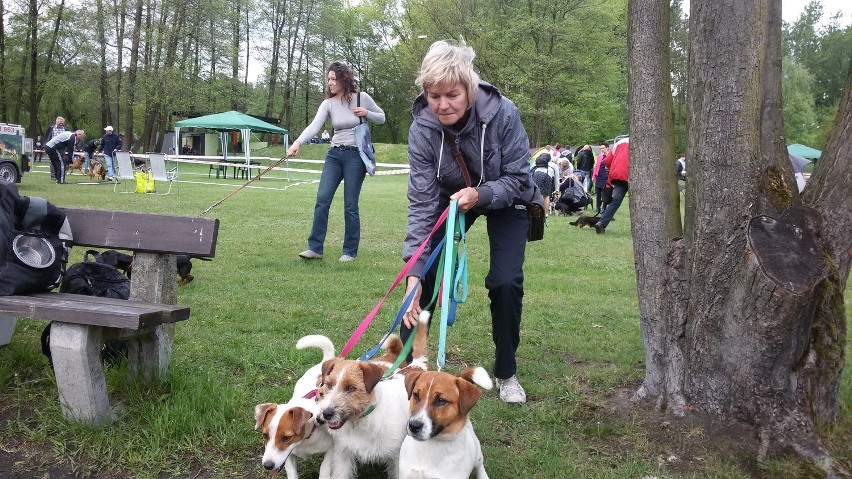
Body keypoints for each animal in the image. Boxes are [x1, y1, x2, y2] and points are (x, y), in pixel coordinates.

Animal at [253, 336, 336, 478]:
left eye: (286, 438)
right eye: (265, 435)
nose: (268, 465)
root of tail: (325, 362)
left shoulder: (331, 449)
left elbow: (324, 468)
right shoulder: (289, 457)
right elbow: (292, 473)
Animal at [316, 316, 430, 478]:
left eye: (351, 388)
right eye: (329, 385)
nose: (326, 414)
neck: (361, 423)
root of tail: (417, 366)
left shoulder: (397, 458)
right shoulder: (343, 454)